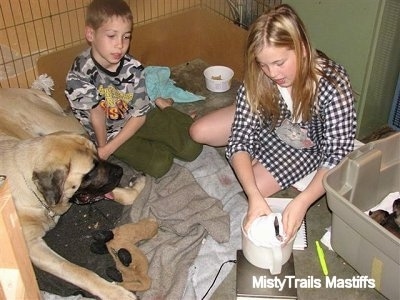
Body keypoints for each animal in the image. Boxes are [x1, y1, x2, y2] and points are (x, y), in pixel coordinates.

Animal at [0, 88, 144, 298]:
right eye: (89, 172)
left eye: (97, 155)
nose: (119, 172)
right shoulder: (32, 246)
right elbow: (79, 271)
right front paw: (115, 293)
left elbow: (124, 194)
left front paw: (136, 185)